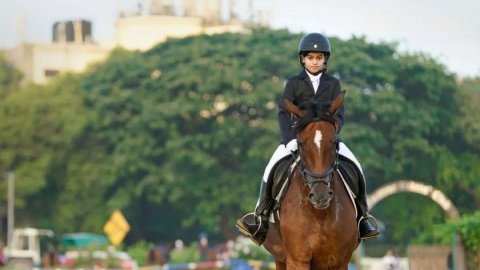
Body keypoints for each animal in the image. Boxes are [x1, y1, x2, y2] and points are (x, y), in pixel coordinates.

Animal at [262, 92, 360, 268]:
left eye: (334, 142)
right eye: (300, 143)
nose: (320, 196)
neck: (319, 215)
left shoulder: (340, 262)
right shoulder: (297, 260)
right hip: (280, 258)